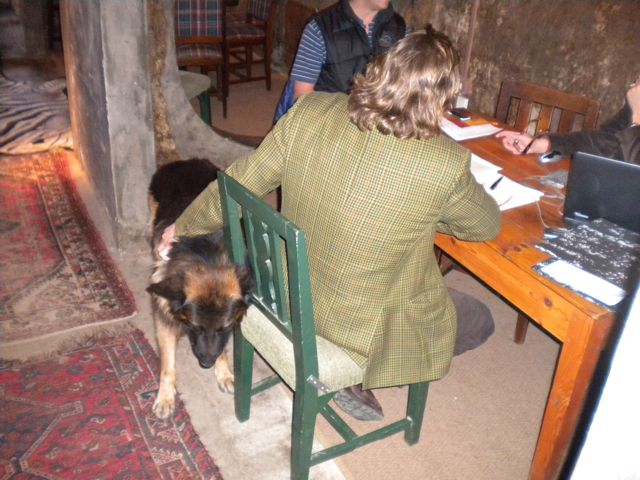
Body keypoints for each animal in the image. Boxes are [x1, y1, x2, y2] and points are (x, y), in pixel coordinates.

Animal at [147, 158, 252, 419]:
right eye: (195, 327)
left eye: (224, 328)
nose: (206, 364)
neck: (205, 257)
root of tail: (184, 161)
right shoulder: (164, 320)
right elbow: (167, 366)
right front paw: (166, 397)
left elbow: (222, 348)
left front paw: (224, 372)